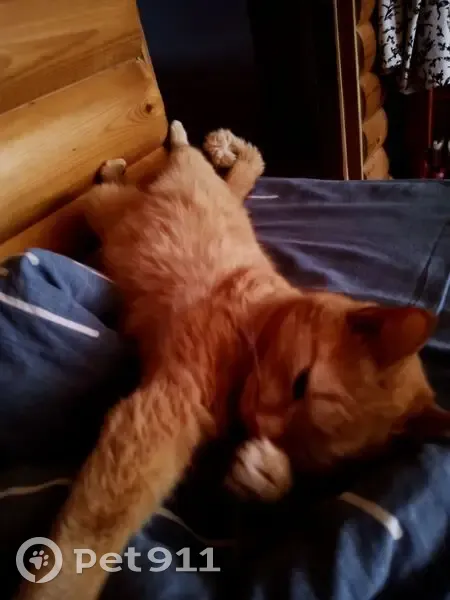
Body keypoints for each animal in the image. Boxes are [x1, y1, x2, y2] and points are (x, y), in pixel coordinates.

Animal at [18, 121, 450, 600]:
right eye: (300, 382)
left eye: (309, 451)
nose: (262, 424)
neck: (258, 318)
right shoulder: (163, 413)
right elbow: (97, 526)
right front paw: (59, 587)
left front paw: (268, 473)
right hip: (114, 209)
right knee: (176, 161)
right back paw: (179, 143)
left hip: (115, 214)